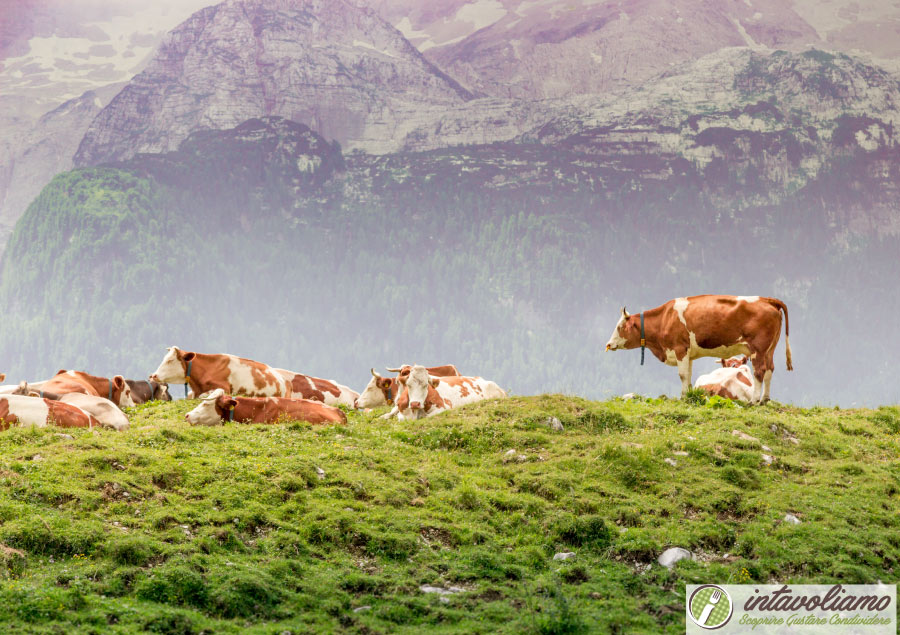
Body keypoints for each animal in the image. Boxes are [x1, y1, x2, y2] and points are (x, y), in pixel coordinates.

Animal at [604, 296, 796, 404]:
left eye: (620, 327)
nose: (608, 344)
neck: (665, 318)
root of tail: (767, 299)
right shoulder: (688, 353)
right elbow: (688, 376)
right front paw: (688, 396)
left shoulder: (679, 348)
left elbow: (682, 375)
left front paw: (682, 398)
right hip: (770, 349)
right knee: (770, 369)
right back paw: (764, 399)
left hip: (758, 349)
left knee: (760, 371)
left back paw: (755, 400)